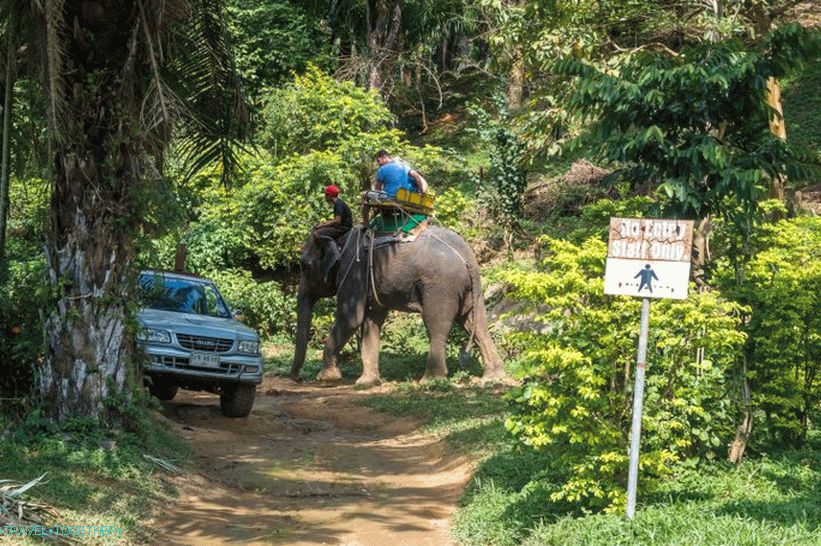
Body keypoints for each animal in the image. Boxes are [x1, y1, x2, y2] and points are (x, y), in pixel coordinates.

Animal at [288, 223, 506, 384]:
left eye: (304, 266)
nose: (297, 378)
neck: (340, 238)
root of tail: (466, 258)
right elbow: (372, 321)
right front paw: (367, 382)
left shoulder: (353, 273)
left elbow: (350, 319)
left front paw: (326, 377)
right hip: (472, 289)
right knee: (476, 324)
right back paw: (494, 377)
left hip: (440, 287)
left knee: (436, 325)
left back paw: (430, 380)